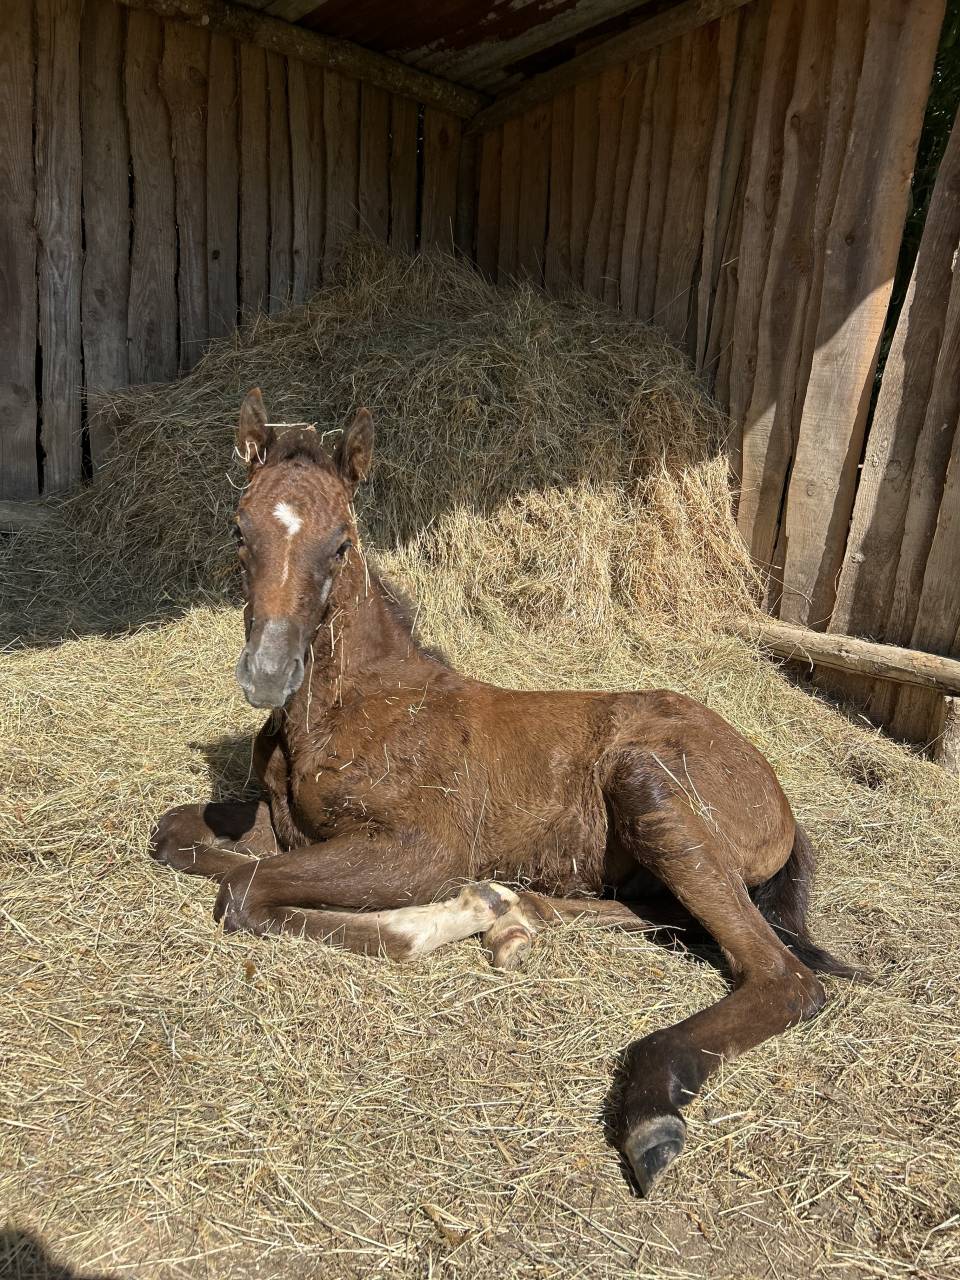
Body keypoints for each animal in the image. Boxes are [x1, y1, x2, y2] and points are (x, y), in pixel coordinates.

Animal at [151, 388, 857, 1195]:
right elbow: (179, 836)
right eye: (240, 531)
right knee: (669, 918)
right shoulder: (285, 824)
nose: (267, 674)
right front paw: (483, 910)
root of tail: (778, 796)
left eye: (341, 544)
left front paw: (438, 919)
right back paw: (517, 914)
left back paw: (648, 1105)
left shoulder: (426, 848)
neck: (354, 705)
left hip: (649, 782)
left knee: (784, 977)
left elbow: (246, 892)